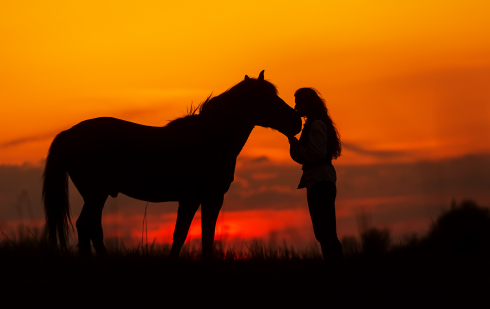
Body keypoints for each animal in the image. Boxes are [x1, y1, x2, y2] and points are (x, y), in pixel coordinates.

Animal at [43, 70, 302, 258]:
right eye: (266, 99)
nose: (297, 121)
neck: (209, 139)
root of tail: (68, 133)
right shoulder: (195, 197)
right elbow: (182, 235)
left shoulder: (207, 199)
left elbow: (205, 236)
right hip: (96, 193)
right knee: (86, 226)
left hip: (97, 194)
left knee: (91, 228)